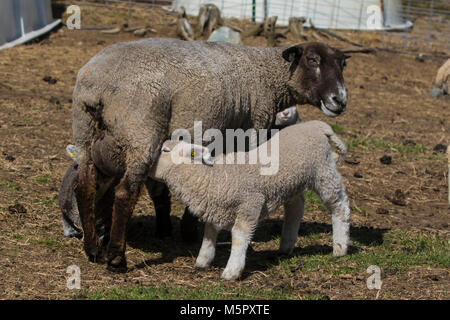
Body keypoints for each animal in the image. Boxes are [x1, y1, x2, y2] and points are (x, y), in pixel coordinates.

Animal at [153, 120, 350, 280]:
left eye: (165, 150)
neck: (214, 176)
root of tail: (317, 125)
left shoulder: (250, 203)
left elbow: (239, 237)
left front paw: (232, 271)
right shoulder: (216, 204)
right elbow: (209, 231)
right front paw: (203, 260)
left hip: (323, 171)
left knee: (340, 206)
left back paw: (340, 247)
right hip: (294, 182)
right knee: (295, 208)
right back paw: (286, 246)